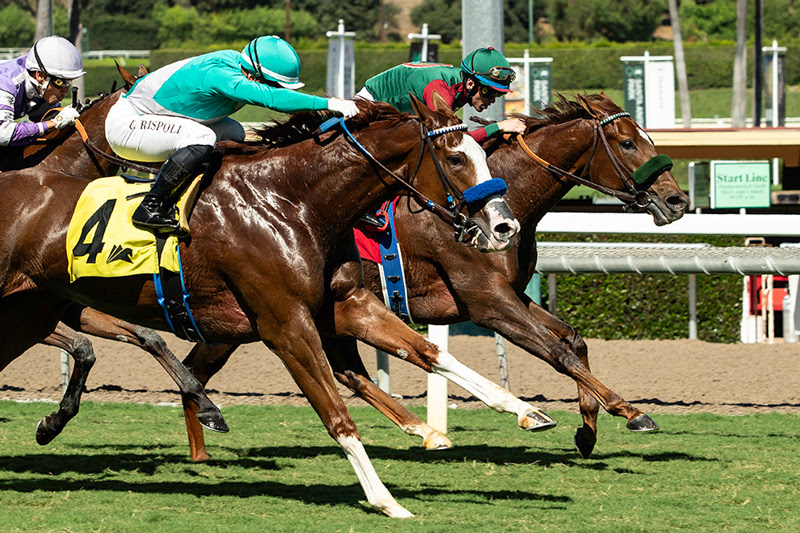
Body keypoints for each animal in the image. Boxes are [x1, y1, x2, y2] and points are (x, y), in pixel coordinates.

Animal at [0, 96, 535, 517]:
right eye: (456, 158)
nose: (504, 226)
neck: (289, 202)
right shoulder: (285, 324)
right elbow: (336, 413)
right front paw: (386, 500)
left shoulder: (345, 304)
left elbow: (432, 354)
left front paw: (524, 410)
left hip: (29, 314)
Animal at [176, 92, 690, 462]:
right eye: (628, 142)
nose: (678, 200)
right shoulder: (486, 301)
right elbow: (556, 353)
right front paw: (632, 412)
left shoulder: (507, 294)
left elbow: (574, 342)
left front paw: (588, 429)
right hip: (246, 317)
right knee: (198, 369)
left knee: (330, 370)